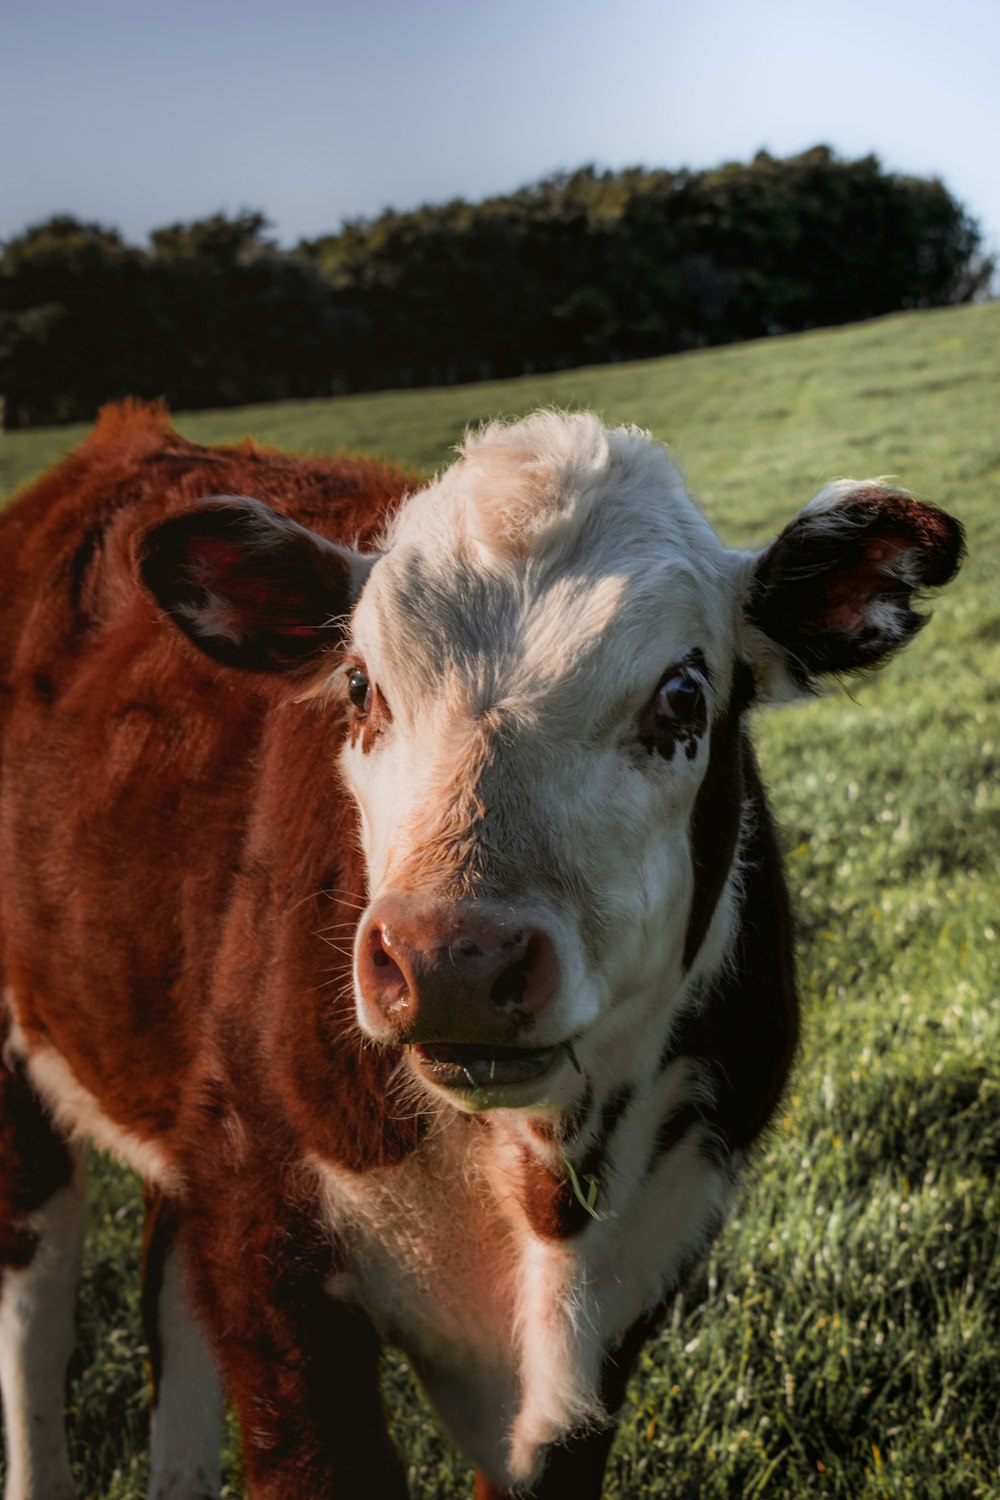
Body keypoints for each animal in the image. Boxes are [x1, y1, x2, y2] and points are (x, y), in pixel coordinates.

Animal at [1, 402, 971, 1500]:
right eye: (358, 685)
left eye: (682, 696)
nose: (449, 965)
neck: (538, 1192)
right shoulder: (268, 1240)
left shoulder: (633, 1283)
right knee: (36, 1307)